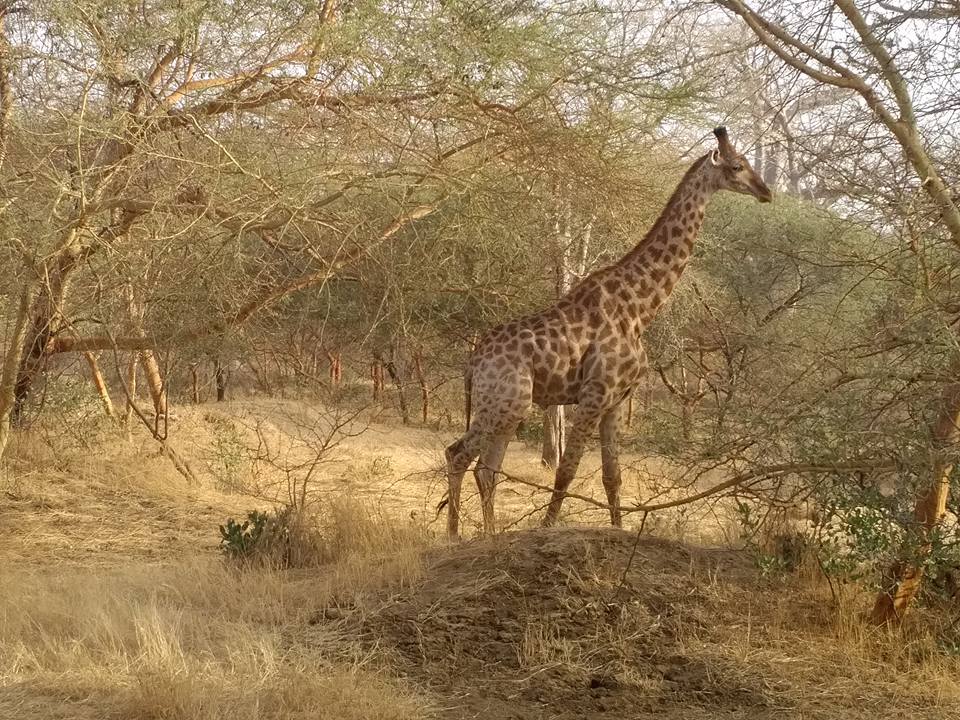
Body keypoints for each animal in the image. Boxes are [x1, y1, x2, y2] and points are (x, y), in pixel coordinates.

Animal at [444, 127, 772, 540]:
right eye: (737, 166)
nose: (766, 191)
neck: (641, 307)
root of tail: (473, 362)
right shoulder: (594, 395)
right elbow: (566, 471)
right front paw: (547, 529)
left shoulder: (616, 401)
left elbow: (612, 477)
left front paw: (619, 531)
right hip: (504, 404)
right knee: (458, 455)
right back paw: (454, 536)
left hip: (508, 410)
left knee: (486, 470)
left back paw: (489, 535)